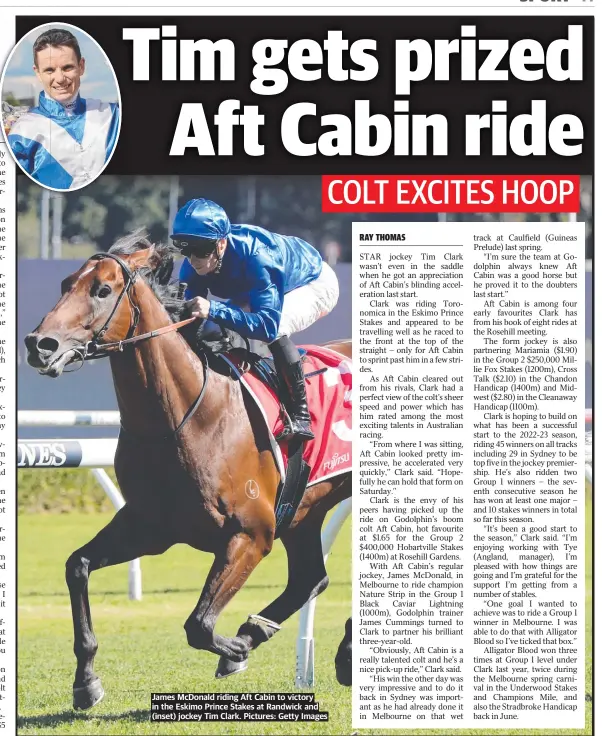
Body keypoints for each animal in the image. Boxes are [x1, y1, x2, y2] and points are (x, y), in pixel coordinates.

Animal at [24, 234, 352, 708]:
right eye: (66, 283)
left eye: (102, 290)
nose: (39, 343)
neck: (188, 417)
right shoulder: (149, 526)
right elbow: (77, 566)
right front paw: (86, 681)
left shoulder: (251, 534)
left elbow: (199, 625)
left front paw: (234, 650)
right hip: (304, 510)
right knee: (311, 577)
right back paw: (264, 633)